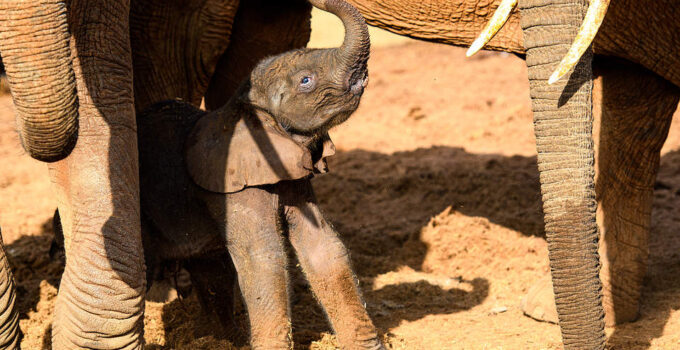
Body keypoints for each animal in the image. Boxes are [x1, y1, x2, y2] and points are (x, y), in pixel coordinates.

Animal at [141, 0, 380, 350]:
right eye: (306, 81)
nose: (316, 2)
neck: (243, 106)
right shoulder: (233, 188)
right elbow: (264, 259)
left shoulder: (292, 175)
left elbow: (324, 247)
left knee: (212, 271)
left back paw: (220, 341)